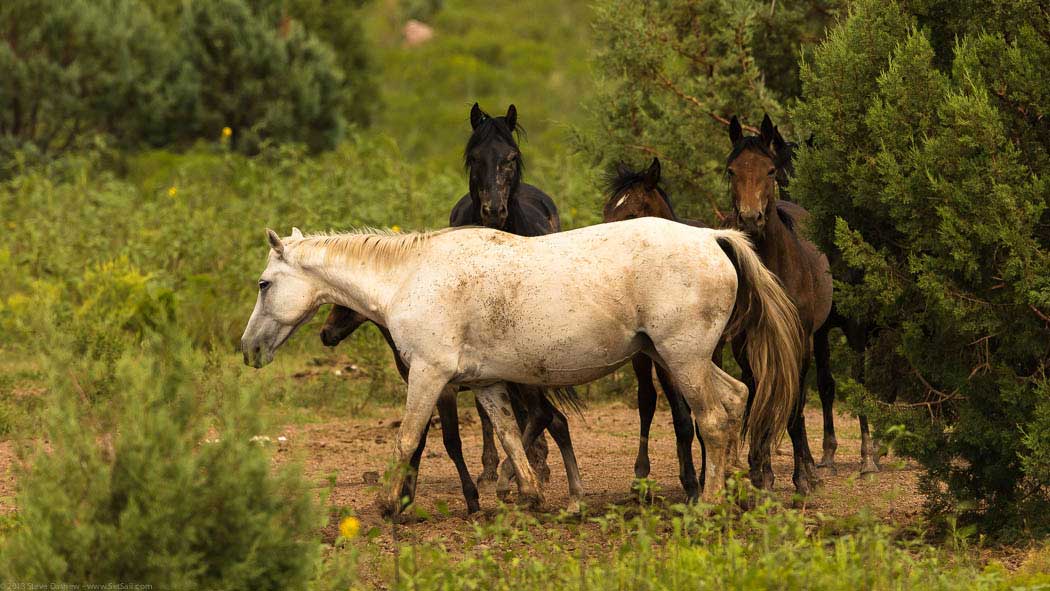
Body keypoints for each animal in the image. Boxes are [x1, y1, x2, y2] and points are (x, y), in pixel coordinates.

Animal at [241, 217, 797, 514]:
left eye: (264, 285)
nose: (248, 350)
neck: (410, 279)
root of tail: (711, 237)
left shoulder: (428, 377)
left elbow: (408, 439)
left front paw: (390, 504)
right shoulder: (487, 384)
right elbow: (510, 437)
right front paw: (526, 495)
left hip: (682, 359)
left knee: (713, 419)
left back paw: (710, 502)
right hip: (678, 358)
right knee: (736, 400)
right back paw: (736, 492)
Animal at [726, 114, 831, 495]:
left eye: (769, 170)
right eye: (731, 171)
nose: (750, 218)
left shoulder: (799, 342)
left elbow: (795, 405)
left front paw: (802, 477)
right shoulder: (746, 344)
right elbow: (759, 396)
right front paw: (761, 473)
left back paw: (811, 469)